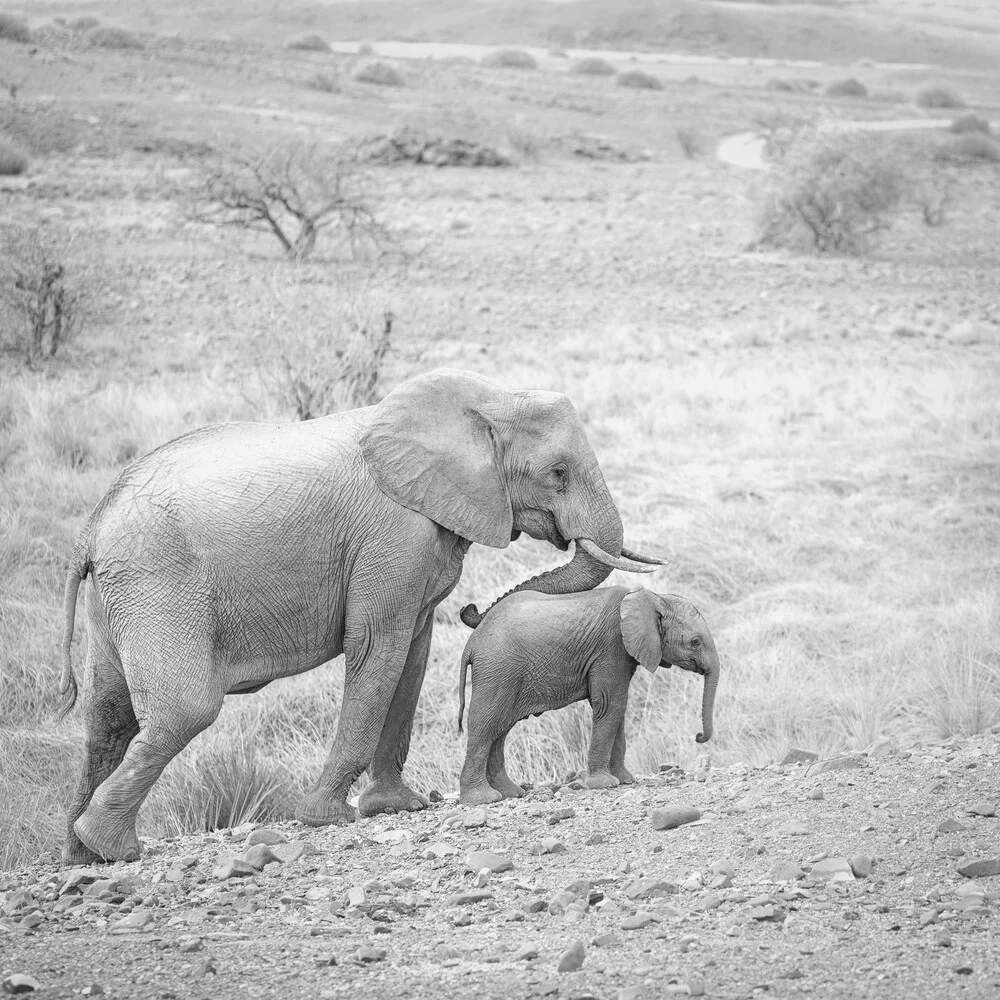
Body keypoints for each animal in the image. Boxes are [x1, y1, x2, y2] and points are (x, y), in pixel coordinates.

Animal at [58, 368, 660, 860]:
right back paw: (111, 847)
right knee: (186, 710)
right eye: (558, 472)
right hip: (157, 582)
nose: (473, 609)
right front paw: (327, 817)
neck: (490, 400)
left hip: (122, 595)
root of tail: (91, 526)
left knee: (107, 717)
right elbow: (379, 650)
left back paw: (83, 856)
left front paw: (398, 807)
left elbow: (411, 658)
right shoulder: (393, 535)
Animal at [458, 584, 716, 804]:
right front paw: (605, 783)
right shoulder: (612, 647)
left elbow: (617, 708)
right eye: (695, 642)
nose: (698, 736)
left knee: (500, 729)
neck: (653, 597)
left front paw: (625, 780)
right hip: (498, 670)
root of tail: (472, 642)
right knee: (486, 725)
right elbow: (611, 704)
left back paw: (511, 793)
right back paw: (482, 799)